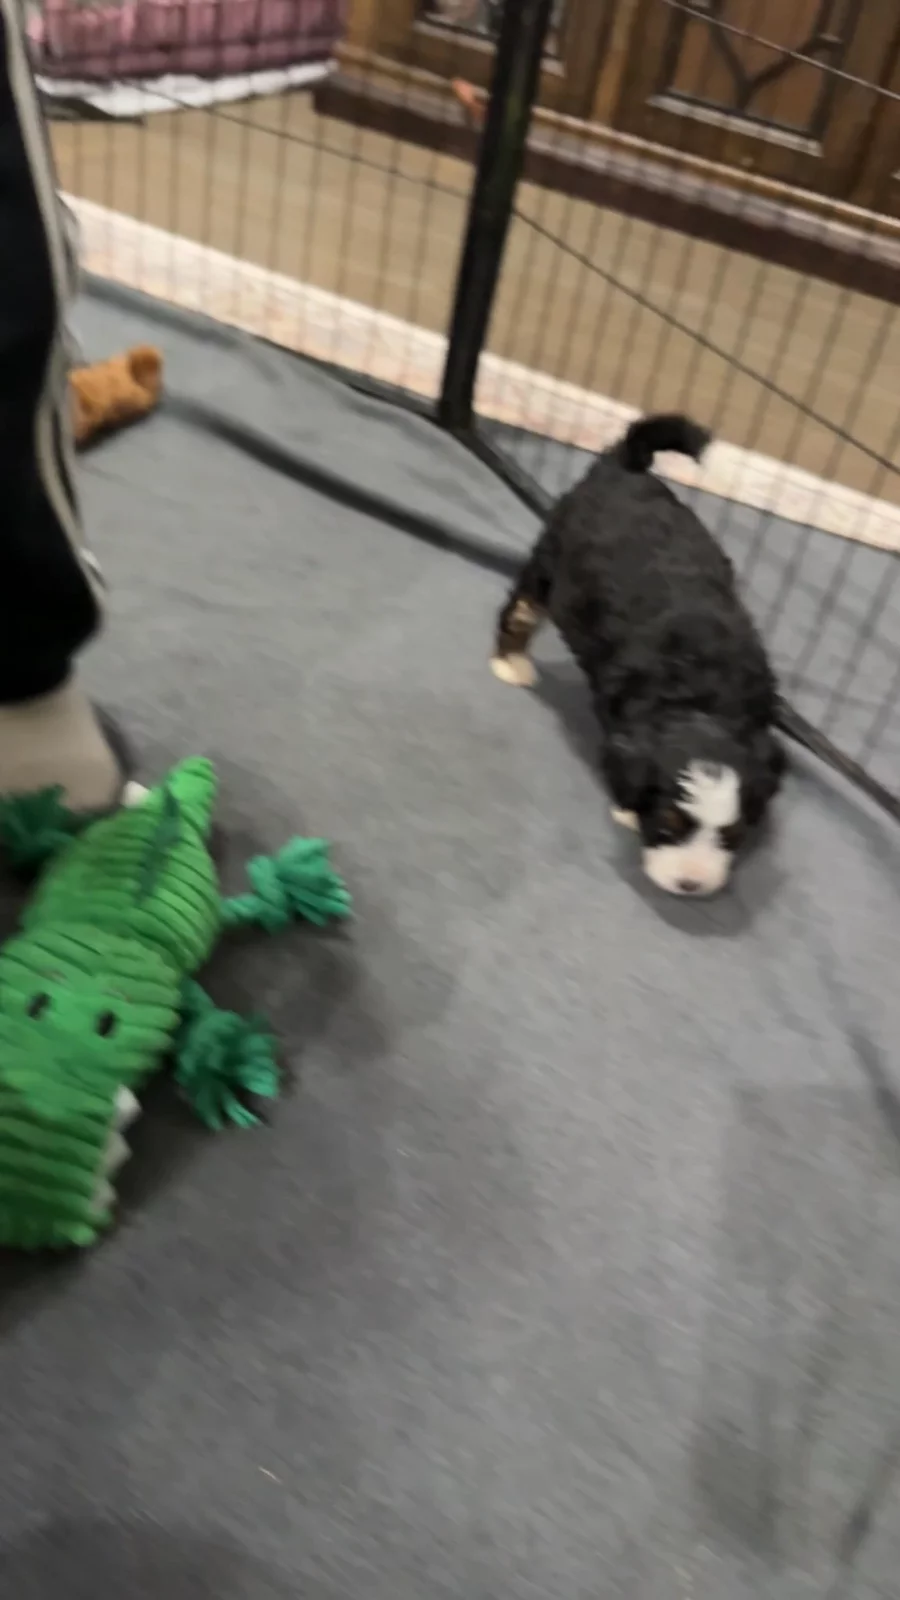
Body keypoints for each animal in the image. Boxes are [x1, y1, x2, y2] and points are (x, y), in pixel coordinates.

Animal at [491, 414, 785, 897]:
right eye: (667, 825)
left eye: (731, 836)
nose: (691, 885)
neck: (702, 698)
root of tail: (625, 465)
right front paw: (627, 811)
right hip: (551, 563)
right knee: (521, 607)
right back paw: (509, 663)